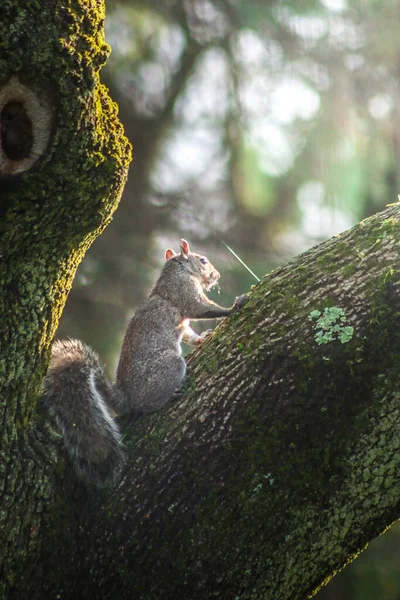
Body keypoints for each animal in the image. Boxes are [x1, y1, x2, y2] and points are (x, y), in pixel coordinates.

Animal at [41, 237, 247, 486]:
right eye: (203, 260)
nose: (217, 275)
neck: (177, 270)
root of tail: (125, 397)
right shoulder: (184, 292)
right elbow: (203, 308)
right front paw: (233, 307)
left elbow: (189, 333)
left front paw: (202, 338)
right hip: (171, 367)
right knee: (145, 406)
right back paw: (167, 398)